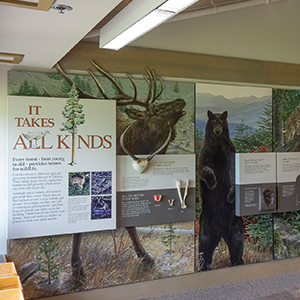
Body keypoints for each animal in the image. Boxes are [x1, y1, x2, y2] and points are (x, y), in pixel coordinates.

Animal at [199, 109, 244, 270]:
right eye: (213, 121)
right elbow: (204, 168)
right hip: (205, 226)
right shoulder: (206, 154)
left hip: (235, 223)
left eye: (221, 122)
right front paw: (212, 183)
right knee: (204, 248)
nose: (217, 131)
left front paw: (230, 195)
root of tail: (220, 231)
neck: (218, 145)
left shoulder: (229, 154)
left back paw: (238, 261)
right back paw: (204, 266)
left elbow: (234, 175)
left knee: (237, 243)